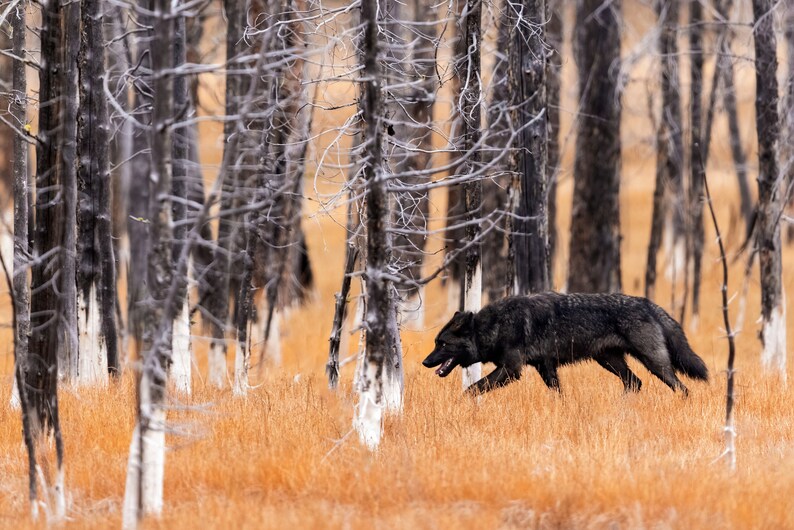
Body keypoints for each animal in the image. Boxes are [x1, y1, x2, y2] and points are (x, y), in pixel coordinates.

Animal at [422, 292, 708, 395]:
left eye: (442, 345)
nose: (425, 362)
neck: (495, 326)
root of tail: (647, 302)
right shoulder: (545, 367)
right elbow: (559, 394)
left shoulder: (511, 370)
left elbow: (472, 389)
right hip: (609, 362)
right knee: (634, 383)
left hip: (655, 364)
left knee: (681, 388)